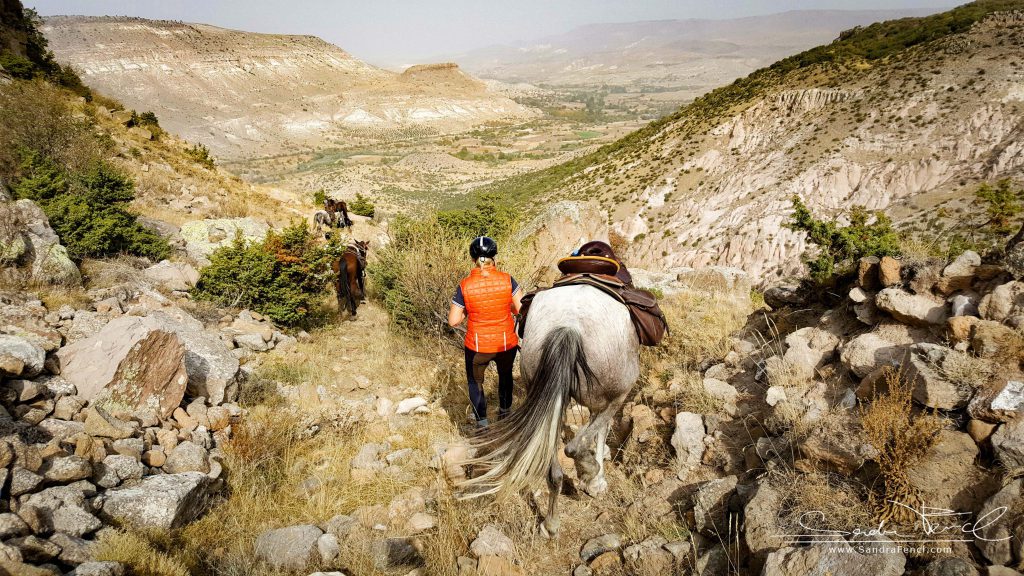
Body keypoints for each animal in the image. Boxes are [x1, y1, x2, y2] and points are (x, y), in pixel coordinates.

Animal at [458, 282, 638, 532]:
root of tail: (569, 326)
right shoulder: (607, 399)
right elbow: (600, 433)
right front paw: (596, 481)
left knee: (554, 470)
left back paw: (551, 522)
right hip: (617, 393)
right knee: (574, 446)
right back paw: (587, 470)